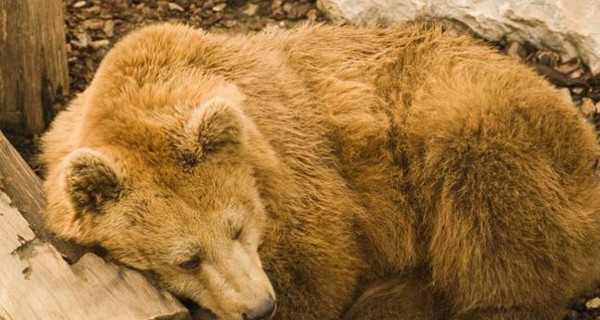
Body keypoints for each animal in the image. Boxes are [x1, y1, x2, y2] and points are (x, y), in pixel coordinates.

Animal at [39, 23, 600, 320]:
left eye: (237, 228)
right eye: (186, 260)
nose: (258, 308)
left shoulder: (308, 182)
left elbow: (317, 273)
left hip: (478, 121)